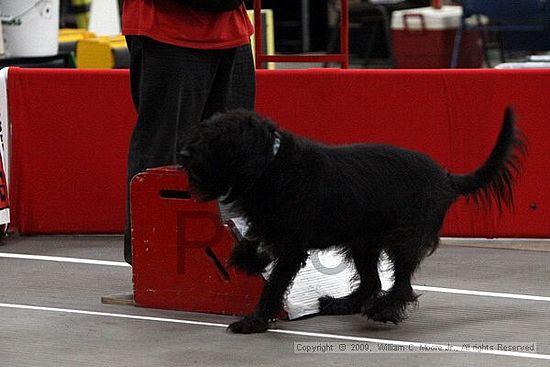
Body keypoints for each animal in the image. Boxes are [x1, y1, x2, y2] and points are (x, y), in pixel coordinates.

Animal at [179, 108, 528, 334]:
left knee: (400, 284)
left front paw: (254, 321)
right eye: (203, 131)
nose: (183, 154)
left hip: (404, 238)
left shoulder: (293, 247)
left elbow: (274, 285)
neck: (272, 164)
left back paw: (384, 309)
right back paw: (343, 304)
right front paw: (248, 260)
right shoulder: (270, 224)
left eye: (216, 139)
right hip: (363, 242)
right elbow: (252, 239)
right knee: (372, 282)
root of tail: (445, 178)